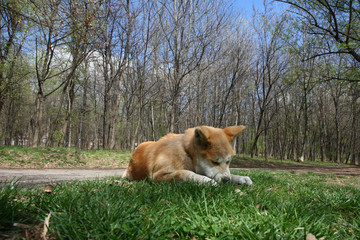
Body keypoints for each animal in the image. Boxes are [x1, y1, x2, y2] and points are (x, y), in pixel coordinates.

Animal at [124, 125, 253, 186]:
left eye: (228, 162)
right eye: (215, 162)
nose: (226, 180)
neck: (188, 153)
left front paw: (240, 178)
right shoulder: (157, 175)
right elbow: (185, 173)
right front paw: (207, 181)